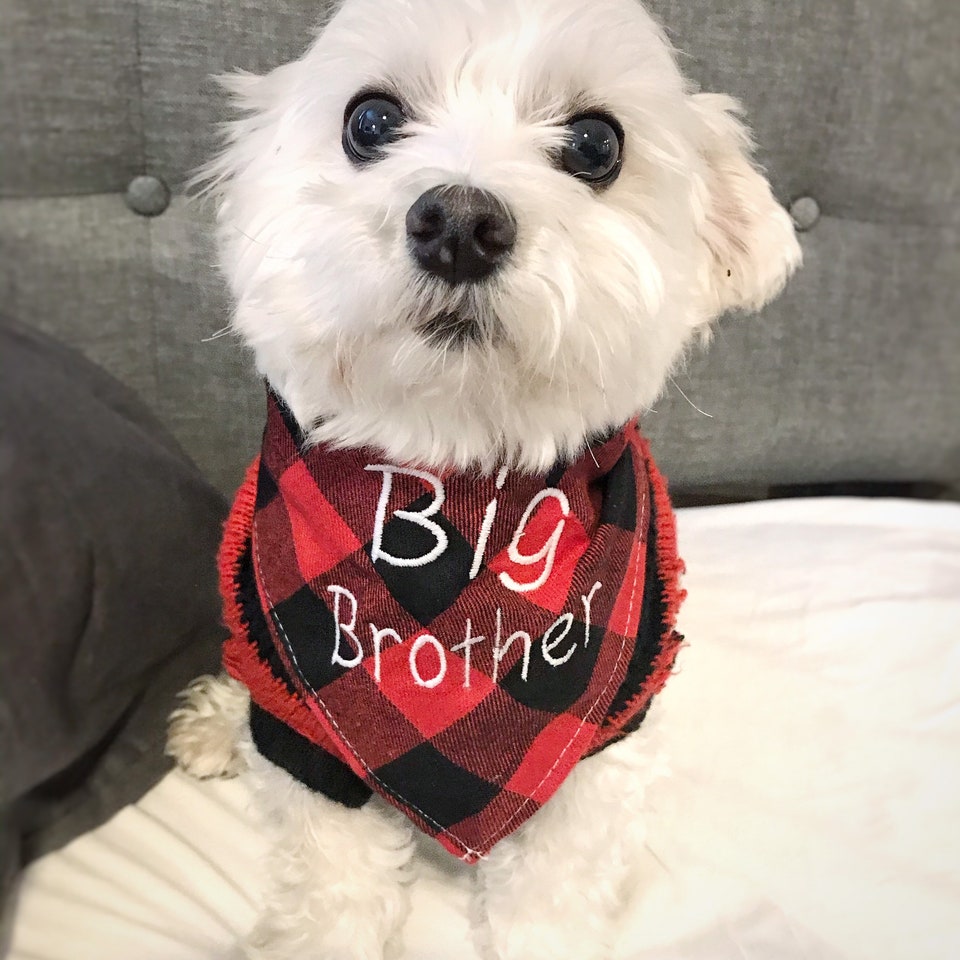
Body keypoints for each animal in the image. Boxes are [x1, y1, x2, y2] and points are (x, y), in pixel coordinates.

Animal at [167, 0, 804, 956]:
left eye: (595, 144)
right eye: (370, 121)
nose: (459, 224)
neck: (455, 489)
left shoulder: (602, 737)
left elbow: (552, 887)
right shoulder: (308, 732)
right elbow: (330, 883)